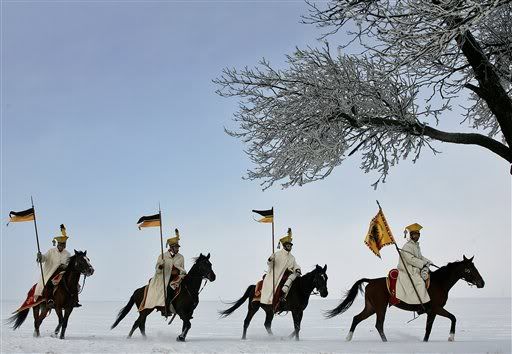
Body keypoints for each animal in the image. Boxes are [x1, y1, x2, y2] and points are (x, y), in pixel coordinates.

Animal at [326, 256, 486, 342]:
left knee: (356, 318)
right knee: (379, 325)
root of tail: (371, 281)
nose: (482, 283)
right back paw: (385, 342)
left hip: (371, 307)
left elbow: (443, 322)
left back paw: (348, 338)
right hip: (380, 307)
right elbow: (438, 324)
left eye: (474, 267)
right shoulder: (435, 309)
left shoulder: (434, 311)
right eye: (468, 269)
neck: (439, 282)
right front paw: (447, 338)